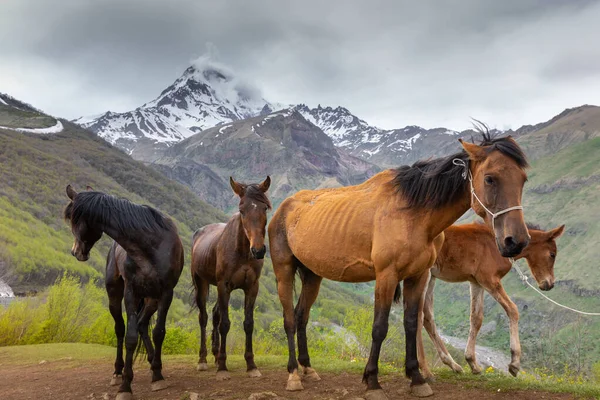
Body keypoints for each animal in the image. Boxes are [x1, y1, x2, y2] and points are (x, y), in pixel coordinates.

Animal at [63, 187, 183, 400]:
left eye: (74, 220)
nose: (75, 252)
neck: (150, 246)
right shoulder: (131, 293)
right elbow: (130, 337)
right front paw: (126, 385)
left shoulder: (166, 293)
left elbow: (158, 332)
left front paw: (158, 376)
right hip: (115, 294)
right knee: (120, 329)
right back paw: (118, 372)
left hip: (152, 298)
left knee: (143, 325)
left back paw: (152, 364)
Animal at [191, 177, 270, 380]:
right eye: (242, 210)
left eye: (265, 208)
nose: (258, 250)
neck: (241, 251)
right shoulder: (224, 286)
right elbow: (225, 324)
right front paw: (222, 368)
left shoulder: (251, 287)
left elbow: (248, 324)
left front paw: (251, 365)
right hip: (202, 284)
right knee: (203, 317)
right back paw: (203, 360)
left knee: (215, 313)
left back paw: (215, 353)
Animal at [270, 135, 528, 400]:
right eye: (489, 178)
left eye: (523, 179)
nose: (516, 241)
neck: (414, 214)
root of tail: (284, 208)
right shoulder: (387, 276)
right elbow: (380, 327)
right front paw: (372, 382)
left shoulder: (418, 276)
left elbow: (411, 323)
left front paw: (416, 378)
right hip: (283, 272)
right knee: (289, 319)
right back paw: (293, 375)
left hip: (313, 276)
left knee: (301, 316)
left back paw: (307, 369)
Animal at [414, 223, 564, 380]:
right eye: (552, 254)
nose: (549, 284)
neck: (496, 244)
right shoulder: (489, 280)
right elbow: (512, 309)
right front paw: (514, 364)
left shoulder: (476, 282)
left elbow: (476, 318)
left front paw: (472, 363)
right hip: (423, 274)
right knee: (418, 315)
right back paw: (425, 369)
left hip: (431, 277)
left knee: (427, 317)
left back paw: (453, 364)